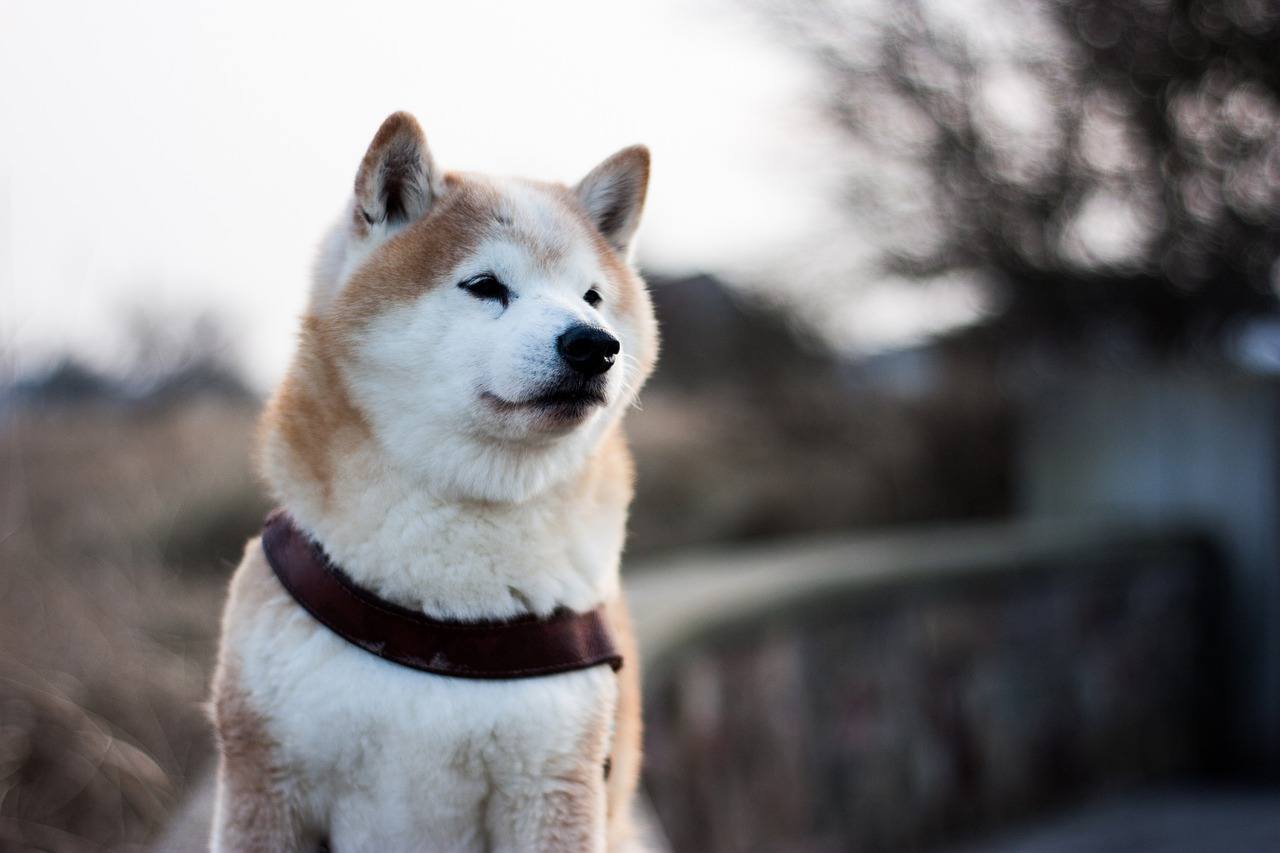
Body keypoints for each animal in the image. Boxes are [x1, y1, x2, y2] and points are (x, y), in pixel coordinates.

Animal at [211, 112, 660, 850]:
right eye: (484, 286)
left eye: (592, 296)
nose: (594, 344)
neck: (447, 617)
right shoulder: (267, 779)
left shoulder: (552, 784)